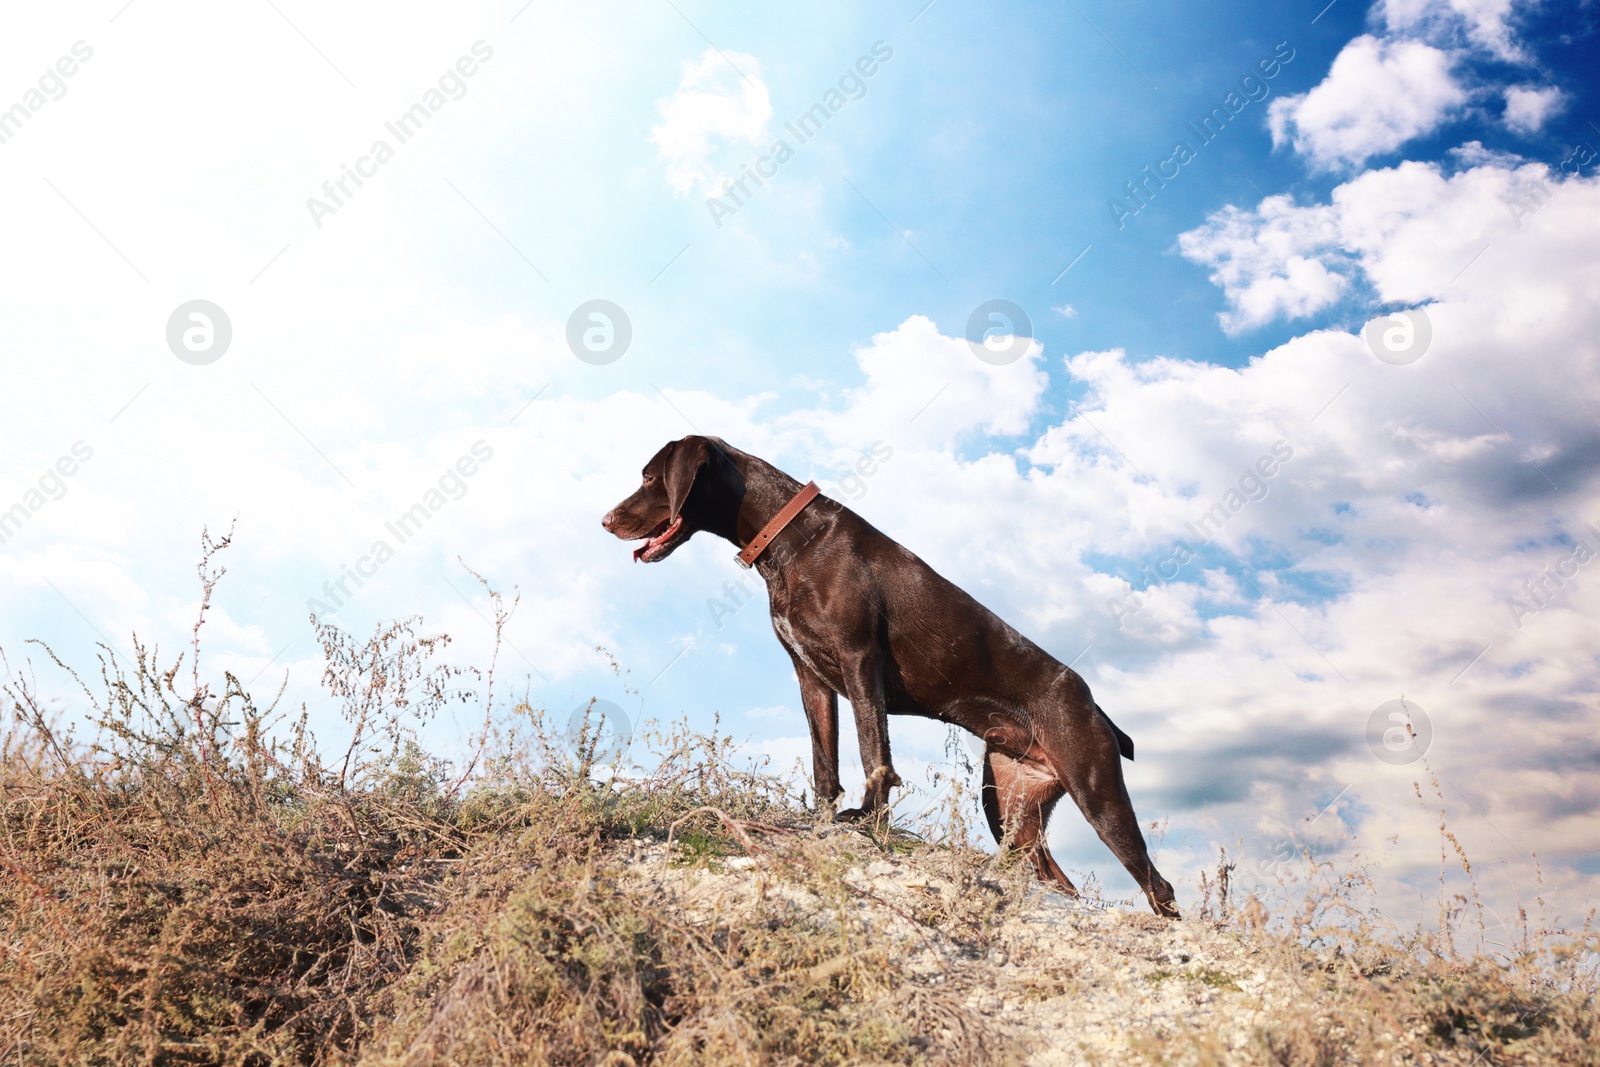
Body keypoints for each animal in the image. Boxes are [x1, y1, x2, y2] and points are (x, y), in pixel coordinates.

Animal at [601, 435, 1177, 921]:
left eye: (650, 477)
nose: (605, 520)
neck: (790, 538)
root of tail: (1096, 706)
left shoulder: (860, 660)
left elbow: (872, 752)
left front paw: (869, 821)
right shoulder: (811, 677)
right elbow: (825, 762)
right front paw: (823, 819)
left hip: (1097, 791)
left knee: (1157, 885)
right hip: (1008, 804)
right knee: (1058, 881)